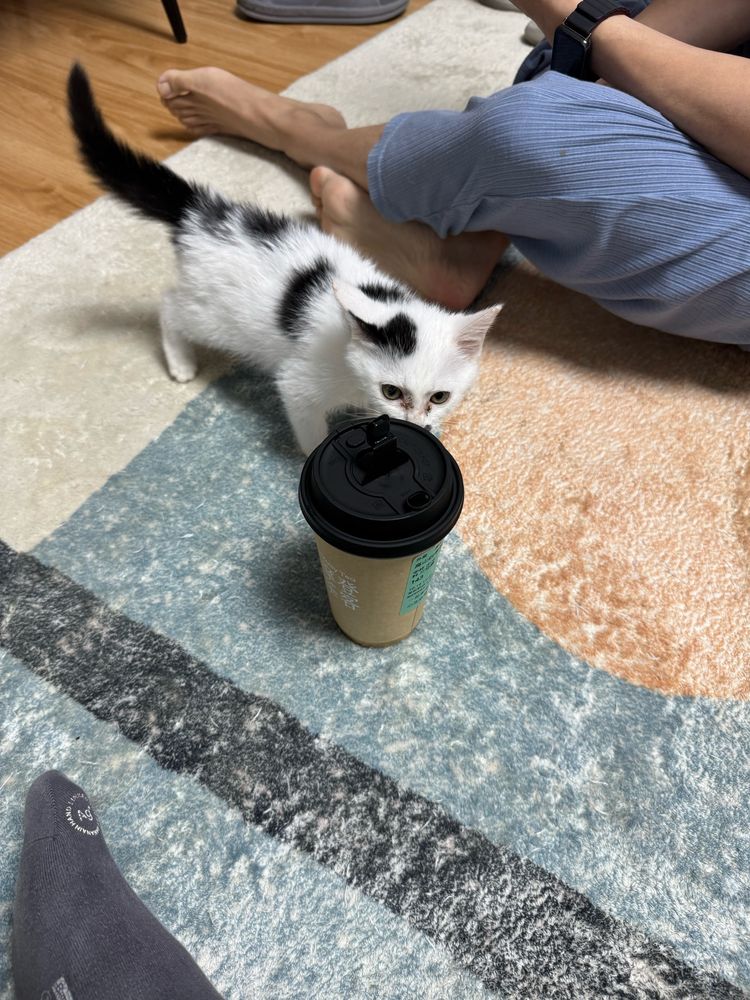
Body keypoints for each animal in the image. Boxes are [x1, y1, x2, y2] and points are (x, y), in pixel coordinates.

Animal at [67, 64, 502, 455]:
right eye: (391, 391)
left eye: (440, 397)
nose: (414, 421)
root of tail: (198, 211)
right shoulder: (300, 382)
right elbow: (310, 430)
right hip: (216, 317)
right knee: (171, 307)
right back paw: (180, 363)